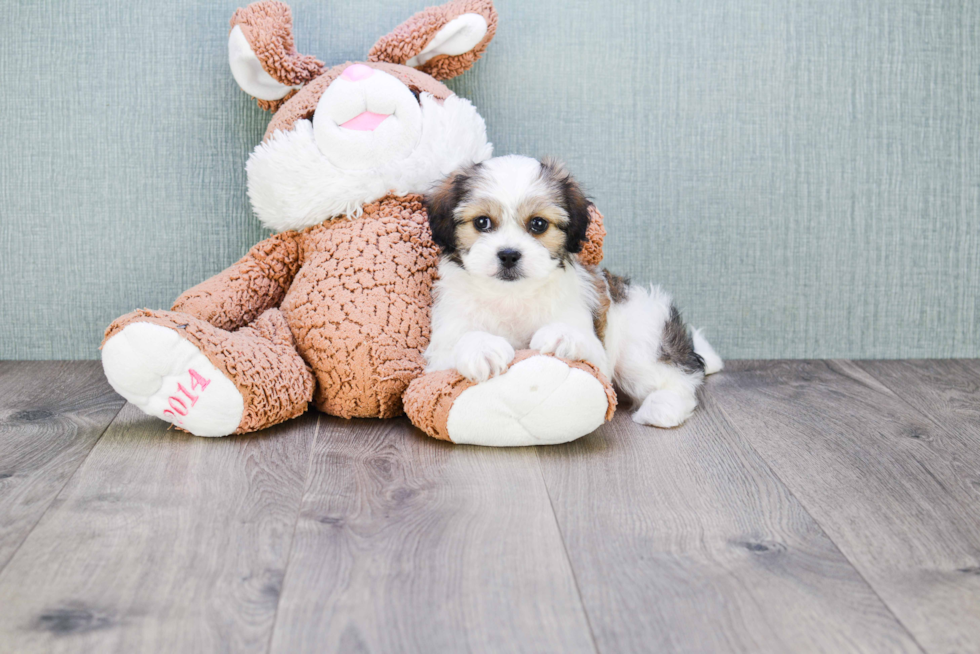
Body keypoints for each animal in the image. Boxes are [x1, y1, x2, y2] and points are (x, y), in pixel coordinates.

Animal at [422, 156, 720, 428]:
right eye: (482, 222)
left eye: (538, 224)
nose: (508, 254)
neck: (512, 296)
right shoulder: (437, 358)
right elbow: (459, 342)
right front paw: (482, 347)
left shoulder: (598, 355)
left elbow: (583, 343)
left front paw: (560, 335)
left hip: (641, 343)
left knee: (681, 378)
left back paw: (663, 407)